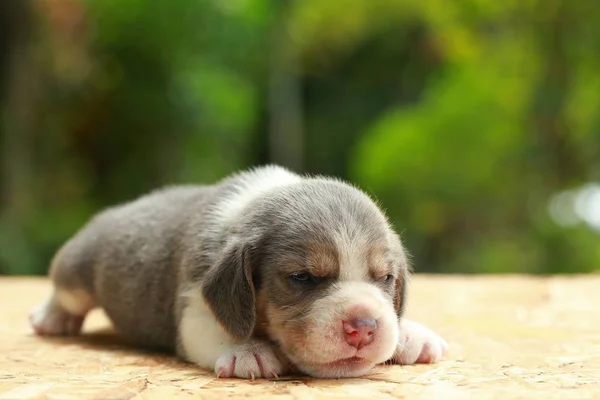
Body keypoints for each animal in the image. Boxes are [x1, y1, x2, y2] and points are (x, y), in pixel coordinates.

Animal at [30, 165, 448, 378]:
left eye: (385, 278)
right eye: (302, 278)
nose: (363, 327)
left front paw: (411, 333)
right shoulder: (193, 304)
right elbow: (216, 327)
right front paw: (249, 351)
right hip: (77, 270)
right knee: (64, 294)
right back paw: (50, 318)